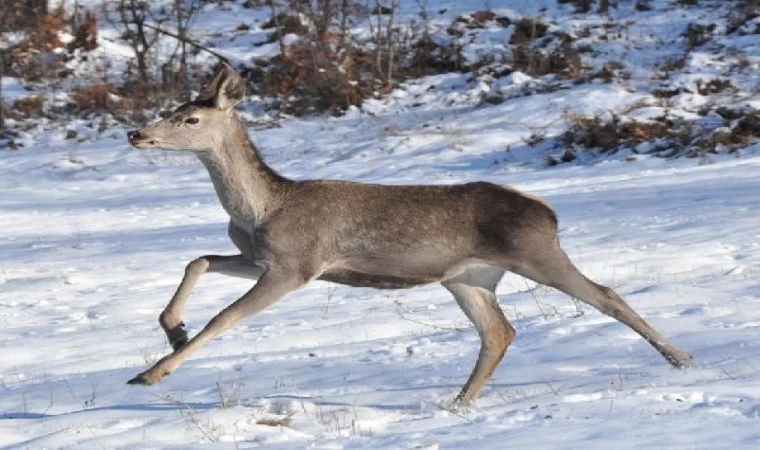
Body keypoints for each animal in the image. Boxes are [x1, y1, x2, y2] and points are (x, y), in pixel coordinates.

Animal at [124, 62, 696, 404]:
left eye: (191, 119)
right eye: (171, 110)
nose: (136, 133)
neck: (263, 207)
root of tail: (548, 211)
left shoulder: (297, 263)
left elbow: (225, 317)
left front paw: (154, 372)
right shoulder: (261, 257)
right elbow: (197, 259)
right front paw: (173, 330)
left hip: (536, 253)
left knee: (606, 295)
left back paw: (683, 359)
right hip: (468, 277)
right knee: (499, 332)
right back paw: (460, 402)